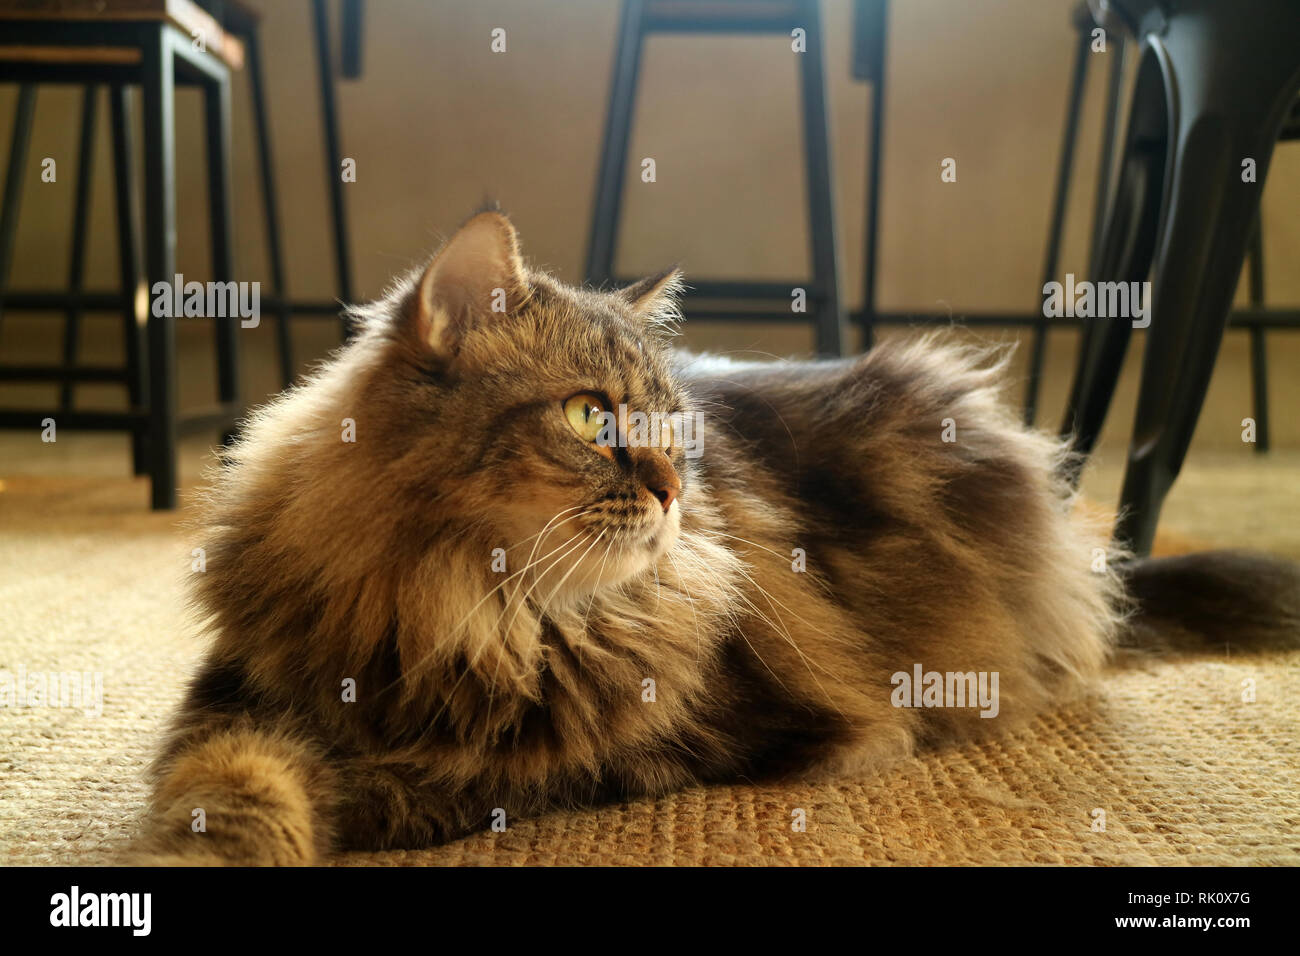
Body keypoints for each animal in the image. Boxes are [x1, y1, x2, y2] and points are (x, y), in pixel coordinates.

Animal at [131, 209, 1300, 868]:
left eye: (672, 428)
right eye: (590, 419)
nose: (672, 494)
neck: (459, 610)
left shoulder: (676, 740)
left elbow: (455, 782)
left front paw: (353, 798)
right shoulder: (237, 691)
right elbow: (221, 789)